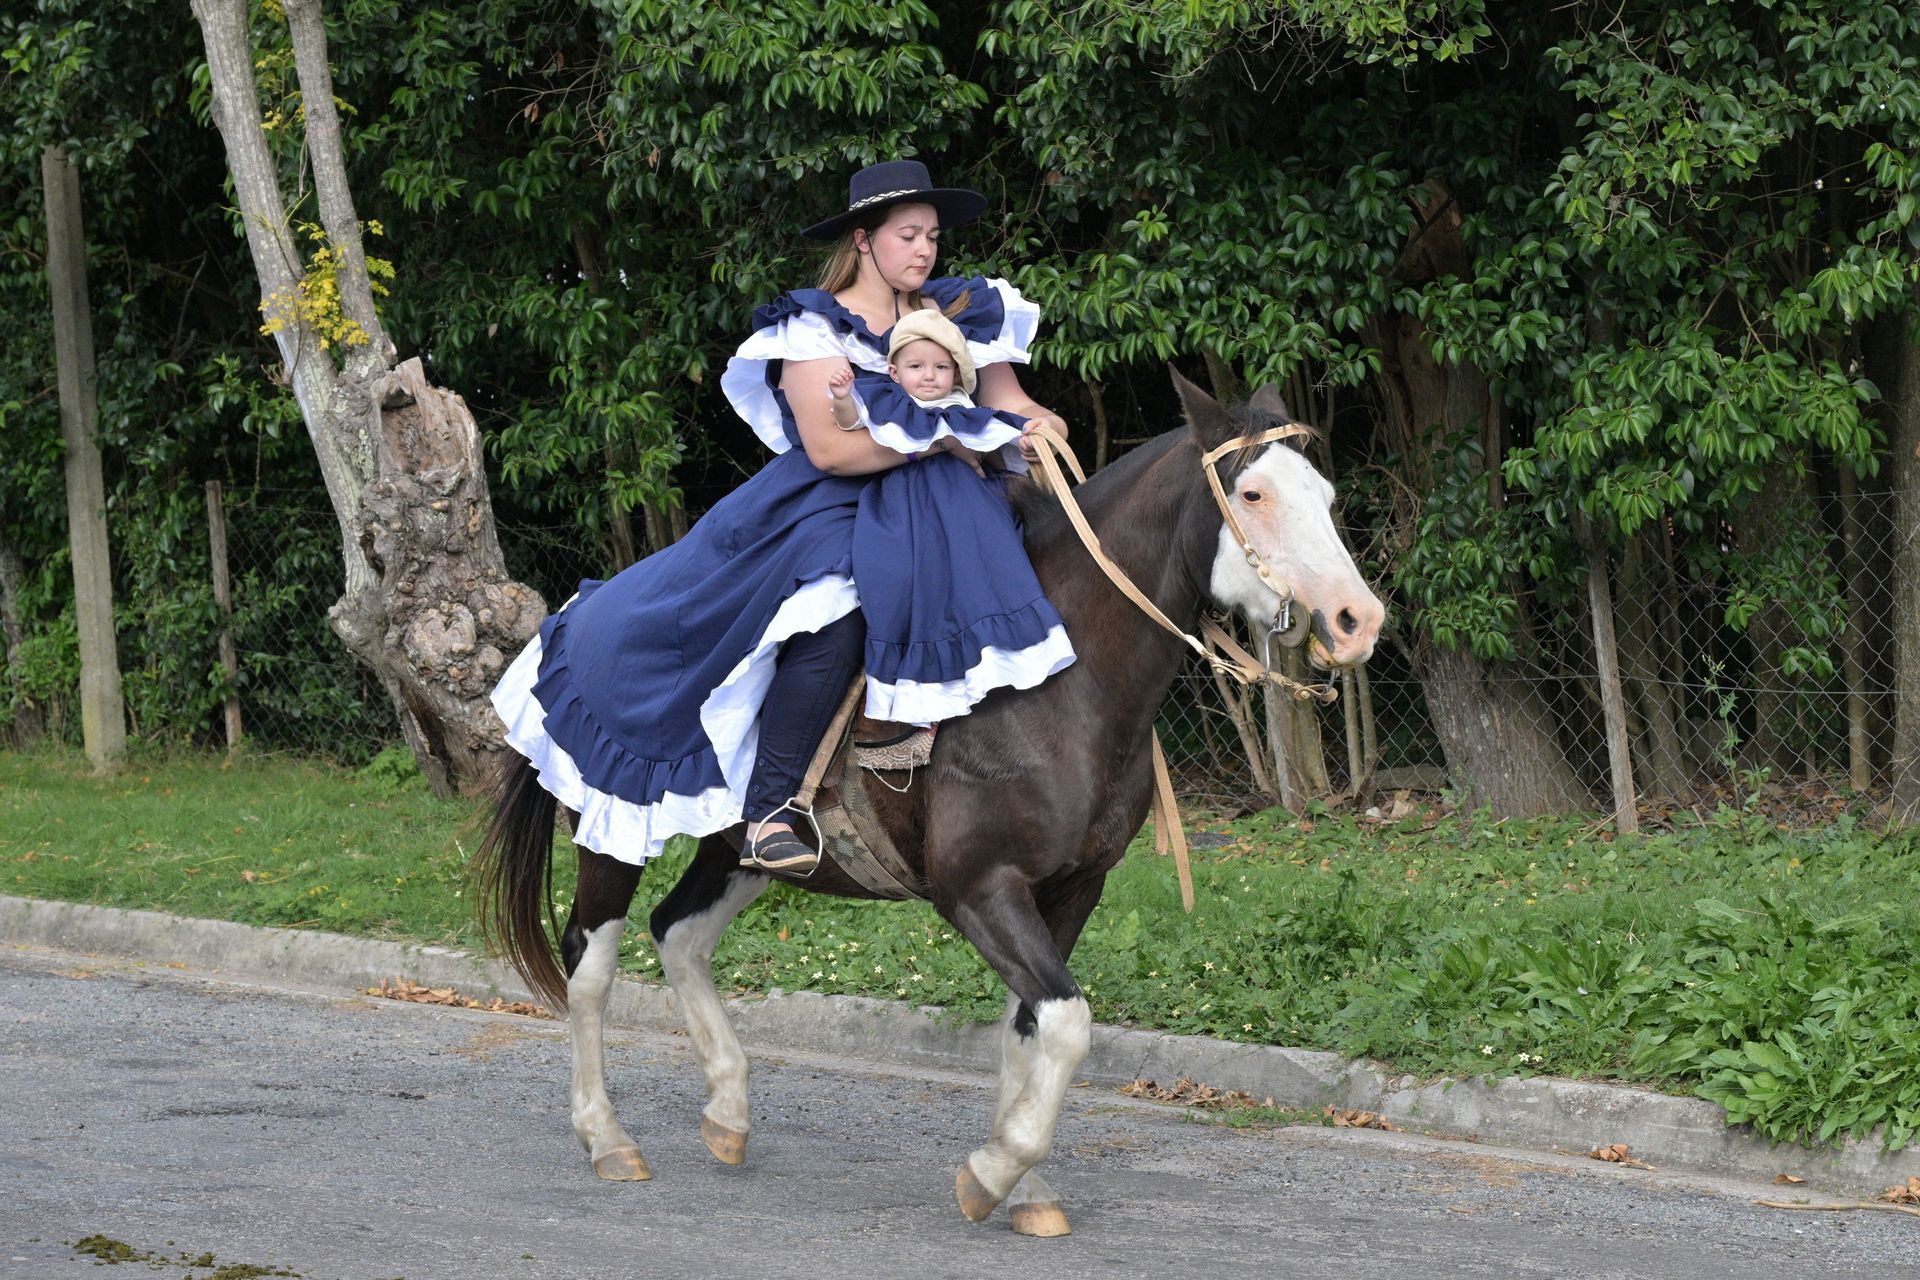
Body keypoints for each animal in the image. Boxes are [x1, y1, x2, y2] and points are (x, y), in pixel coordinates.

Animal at [473, 368, 1385, 1237]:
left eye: (1326, 495)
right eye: (1253, 494)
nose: (1357, 620)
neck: (1065, 681)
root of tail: (582, 604)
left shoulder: (1071, 889)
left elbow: (1030, 1032)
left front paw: (1027, 1188)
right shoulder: (977, 887)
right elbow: (1067, 1023)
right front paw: (995, 1170)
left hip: (738, 848)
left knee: (679, 933)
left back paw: (728, 1111)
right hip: (612, 829)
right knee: (590, 965)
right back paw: (607, 1137)